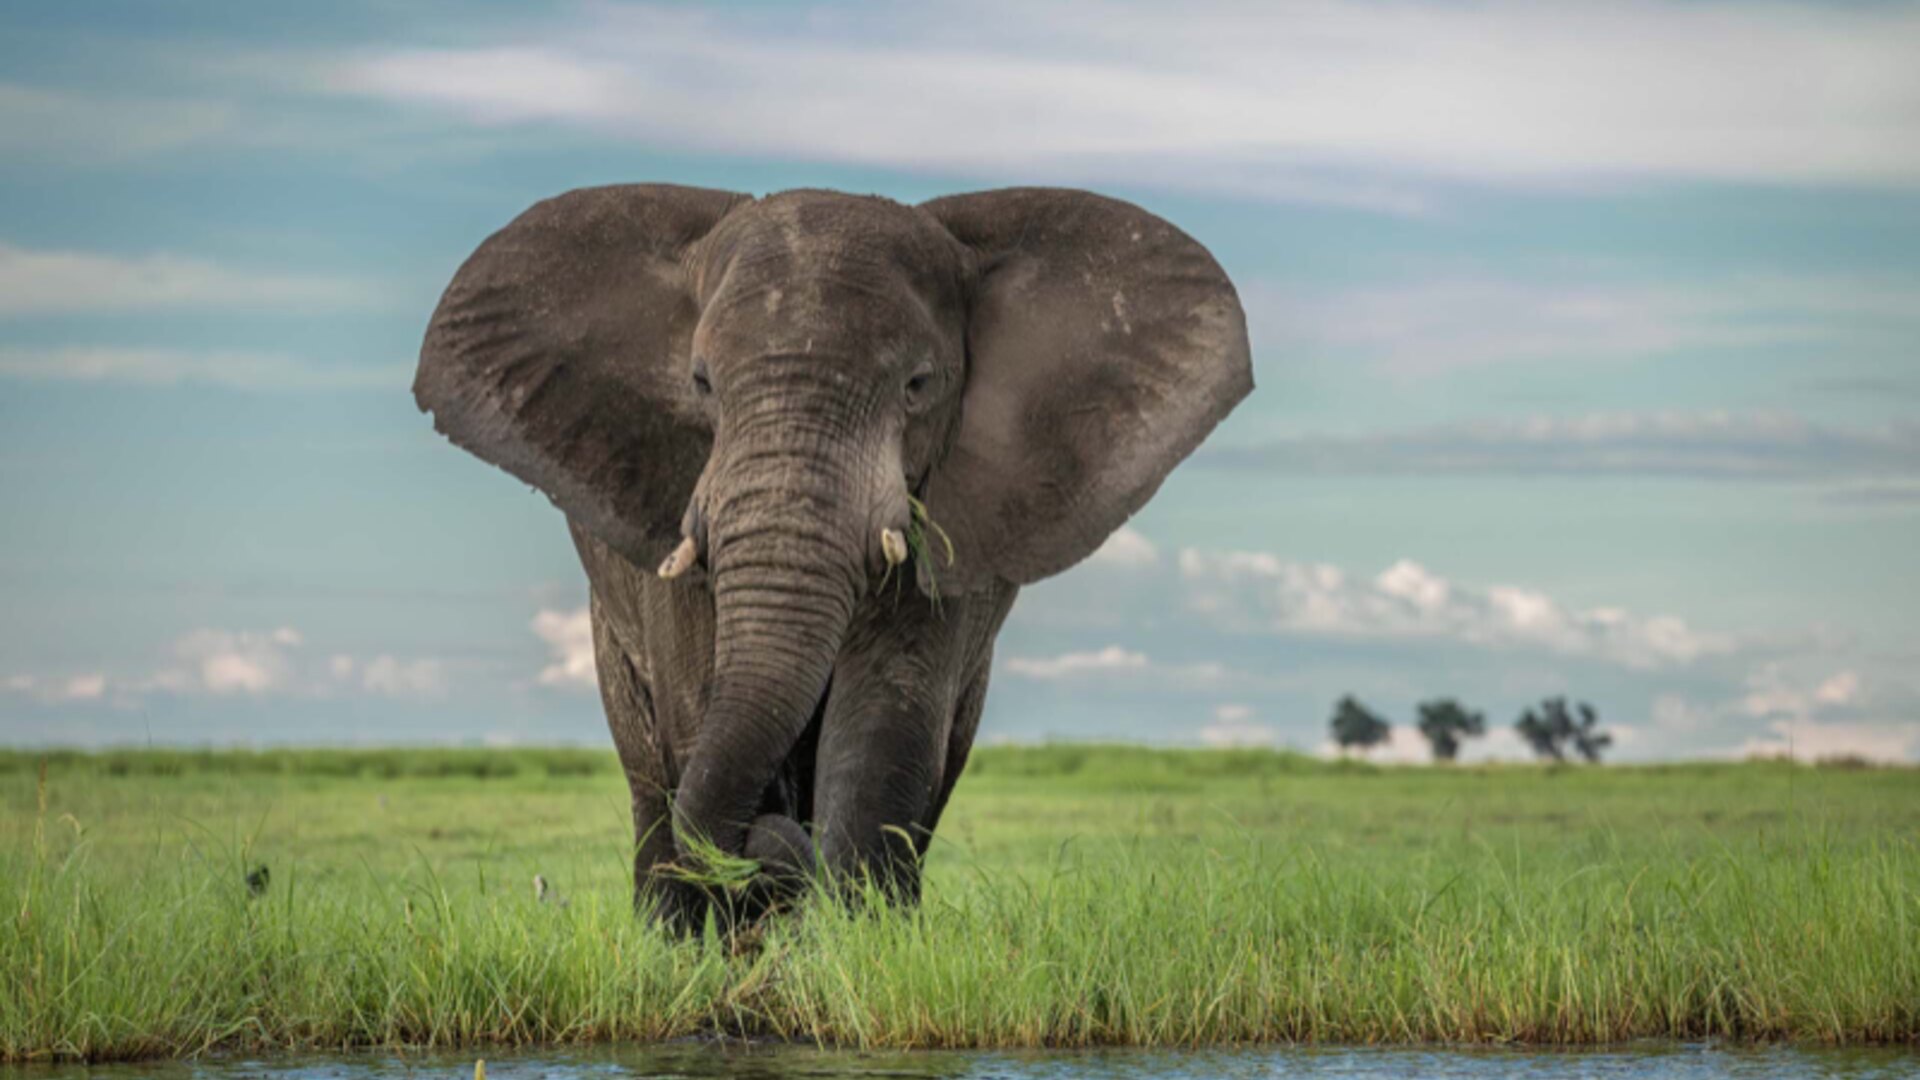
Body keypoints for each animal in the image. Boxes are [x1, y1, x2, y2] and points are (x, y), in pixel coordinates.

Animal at [414, 184, 1251, 927]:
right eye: (700, 382)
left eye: (918, 384)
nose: (775, 849)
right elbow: (696, 694)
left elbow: (887, 716)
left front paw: (849, 950)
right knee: (650, 772)